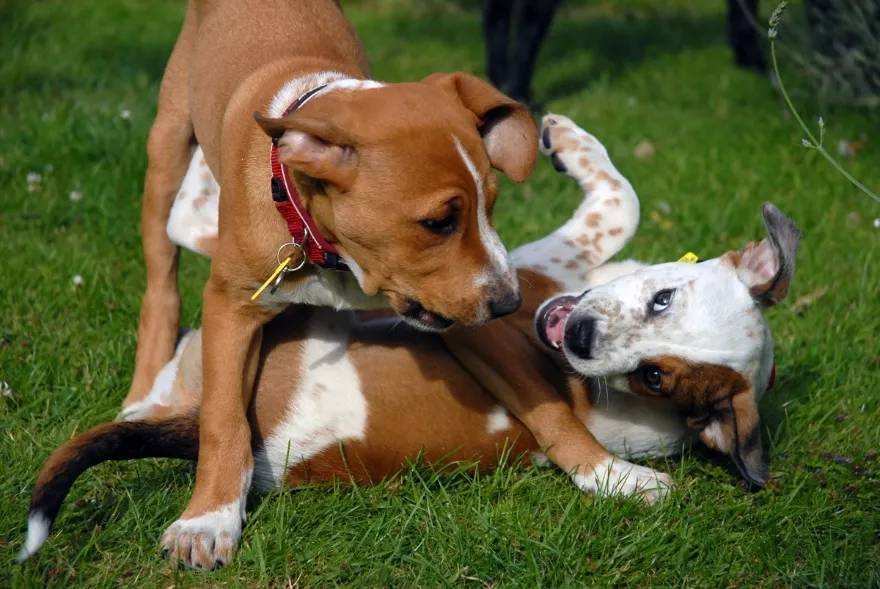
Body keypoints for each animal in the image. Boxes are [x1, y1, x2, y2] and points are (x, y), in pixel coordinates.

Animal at [20, 113, 800, 564]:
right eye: (664, 300)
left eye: (653, 377)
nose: (576, 338)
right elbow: (625, 197)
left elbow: (621, 202)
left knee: (192, 222)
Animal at [124, 0, 536, 568]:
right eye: (438, 222)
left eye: (489, 205)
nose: (508, 303)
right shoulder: (230, 306)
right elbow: (224, 418)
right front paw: (207, 520)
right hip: (167, 144)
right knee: (161, 276)